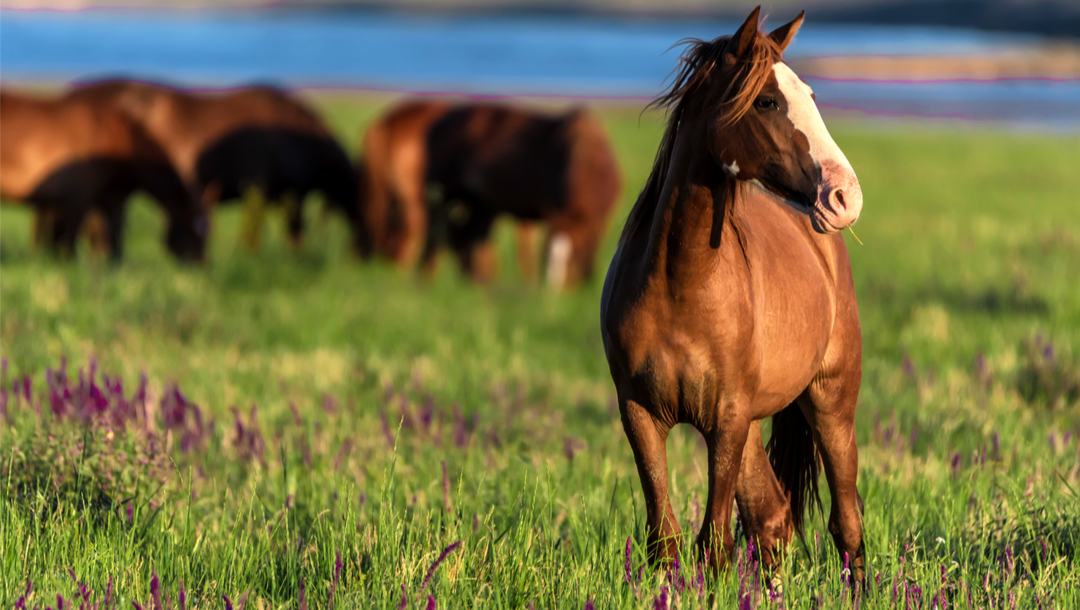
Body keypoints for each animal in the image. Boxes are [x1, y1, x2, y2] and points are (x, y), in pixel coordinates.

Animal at [0, 88, 207, 261]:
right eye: (196, 228)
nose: (199, 264)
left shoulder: (109, 197)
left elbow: (111, 234)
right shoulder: (78, 198)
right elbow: (72, 238)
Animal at [358, 99, 621, 288]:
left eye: (575, 255)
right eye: (547, 255)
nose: (553, 292)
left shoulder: (598, 220)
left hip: (476, 206)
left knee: (467, 241)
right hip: (441, 199)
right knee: (435, 236)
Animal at [600, 7, 866, 581]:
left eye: (811, 94)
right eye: (766, 100)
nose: (844, 196)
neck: (682, 285)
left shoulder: (726, 420)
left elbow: (713, 545)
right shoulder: (641, 414)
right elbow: (666, 541)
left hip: (831, 405)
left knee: (846, 525)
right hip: (753, 428)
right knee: (774, 519)